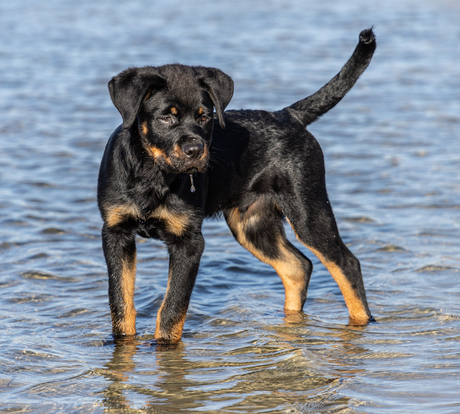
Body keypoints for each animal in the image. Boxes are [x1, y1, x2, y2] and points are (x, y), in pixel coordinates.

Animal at [98, 26, 378, 342]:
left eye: (204, 116)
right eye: (166, 117)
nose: (195, 150)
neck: (153, 175)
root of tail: (289, 115)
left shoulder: (189, 242)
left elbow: (172, 308)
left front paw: (165, 346)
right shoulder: (116, 232)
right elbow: (121, 302)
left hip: (308, 207)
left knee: (345, 263)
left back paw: (361, 324)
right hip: (251, 223)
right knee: (298, 266)